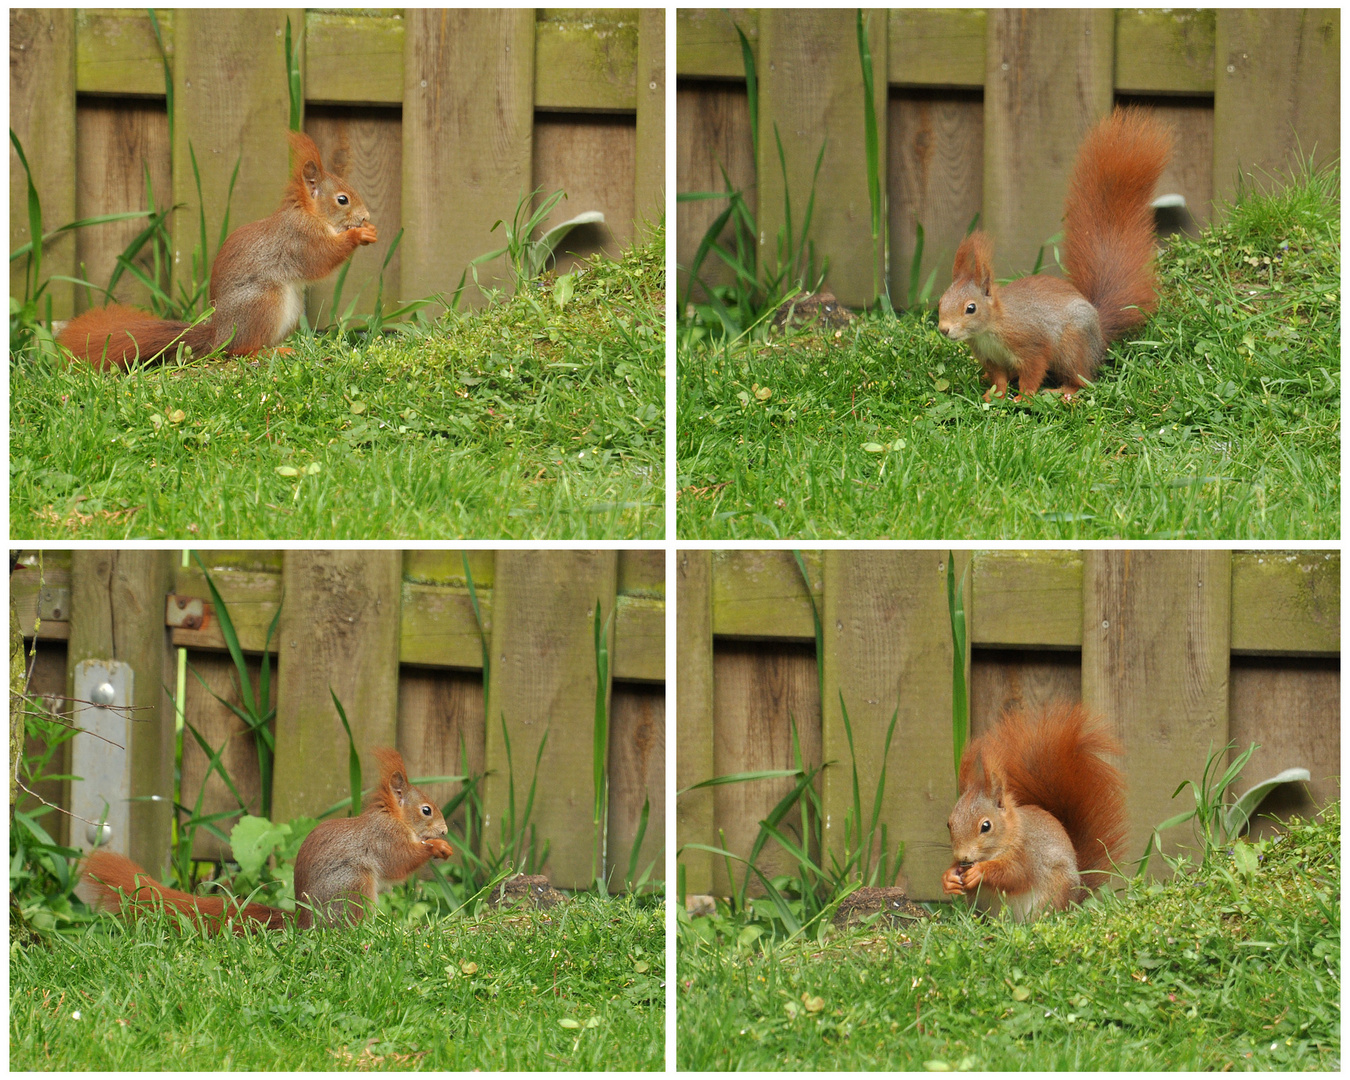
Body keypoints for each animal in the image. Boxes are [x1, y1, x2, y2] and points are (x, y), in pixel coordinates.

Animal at [55, 131, 378, 372]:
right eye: (342, 199)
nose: (366, 215)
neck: (310, 214)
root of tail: (218, 335)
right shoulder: (300, 239)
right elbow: (321, 259)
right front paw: (358, 235)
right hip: (262, 303)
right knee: (238, 351)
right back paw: (267, 353)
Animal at [81, 745, 450, 934]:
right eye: (427, 810)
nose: (446, 831)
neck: (394, 817)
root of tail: (303, 921)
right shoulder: (384, 838)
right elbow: (400, 861)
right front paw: (434, 848)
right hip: (352, 887)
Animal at [939, 107, 1171, 402]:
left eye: (971, 308)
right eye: (941, 301)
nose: (944, 329)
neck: (991, 328)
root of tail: (1099, 336)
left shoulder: (1031, 345)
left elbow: (1033, 371)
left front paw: (1024, 397)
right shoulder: (992, 359)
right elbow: (1000, 378)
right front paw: (994, 395)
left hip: (1072, 347)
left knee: (1082, 380)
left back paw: (1064, 392)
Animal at [939, 702, 1128, 918]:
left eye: (986, 826)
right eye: (949, 824)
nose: (962, 857)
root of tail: (1073, 901)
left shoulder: (1028, 855)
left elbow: (1014, 875)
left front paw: (981, 872)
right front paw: (948, 878)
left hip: (1053, 892)